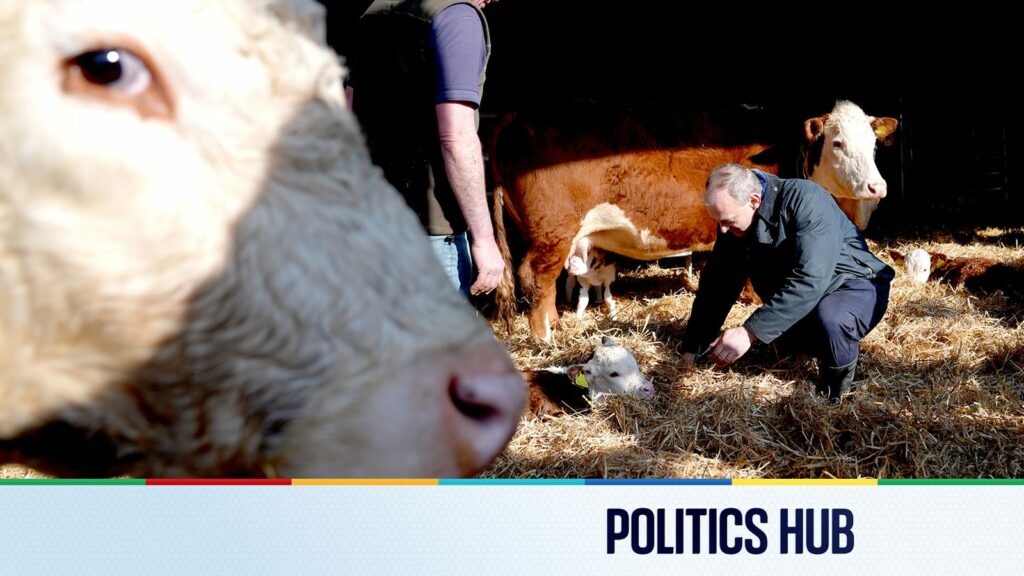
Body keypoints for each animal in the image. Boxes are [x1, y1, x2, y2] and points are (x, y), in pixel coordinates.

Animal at [493, 100, 897, 338]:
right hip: (554, 230)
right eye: (837, 143)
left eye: (874, 145)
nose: (877, 186)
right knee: (536, 278)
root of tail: (516, 116)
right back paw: (545, 335)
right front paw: (750, 297)